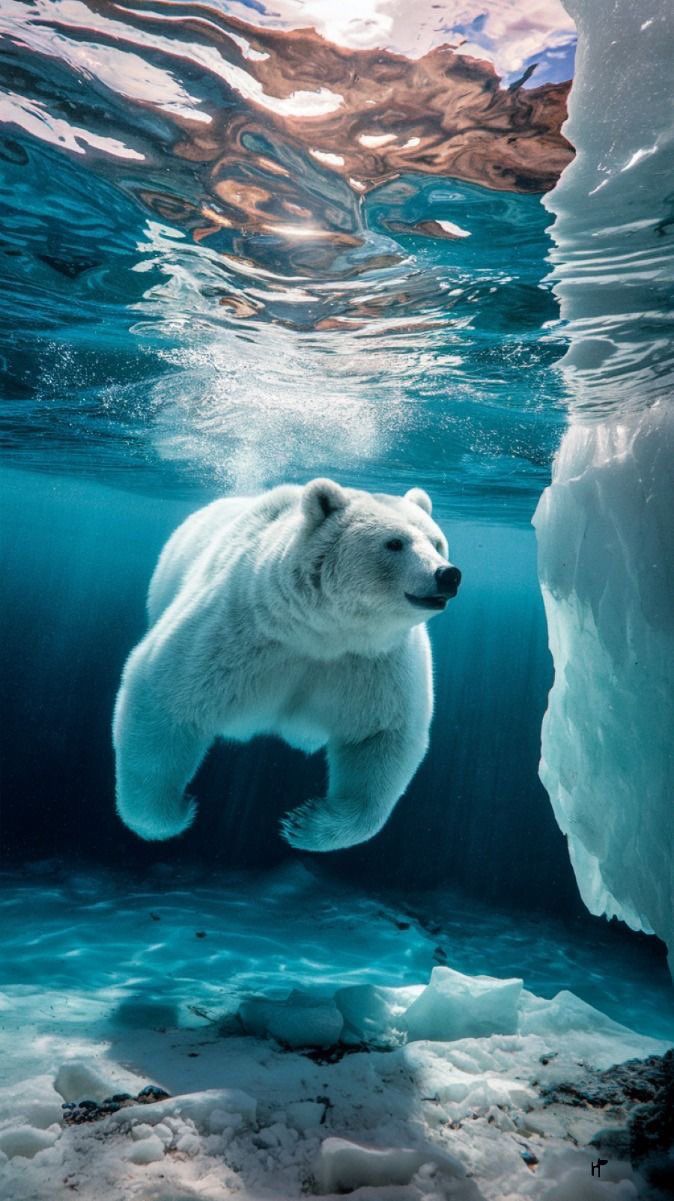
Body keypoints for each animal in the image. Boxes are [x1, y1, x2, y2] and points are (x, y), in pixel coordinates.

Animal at [112, 478, 461, 852]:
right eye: (395, 542)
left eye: (437, 541)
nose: (447, 575)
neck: (318, 631)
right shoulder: (235, 633)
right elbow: (166, 702)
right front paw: (173, 814)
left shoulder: (374, 663)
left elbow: (383, 737)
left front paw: (305, 824)